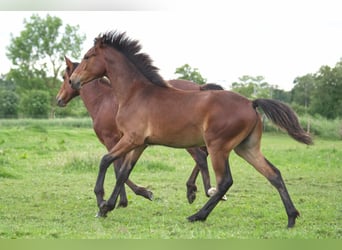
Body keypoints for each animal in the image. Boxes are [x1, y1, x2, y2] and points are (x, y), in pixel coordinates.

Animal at [56, 56, 224, 207]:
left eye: (65, 77)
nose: (58, 99)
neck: (102, 101)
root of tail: (200, 88)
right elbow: (122, 168)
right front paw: (125, 199)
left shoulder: (112, 140)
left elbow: (116, 167)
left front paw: (133, 196)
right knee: (204, 154)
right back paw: (196, 190)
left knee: (201, 156)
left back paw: (199, 190)